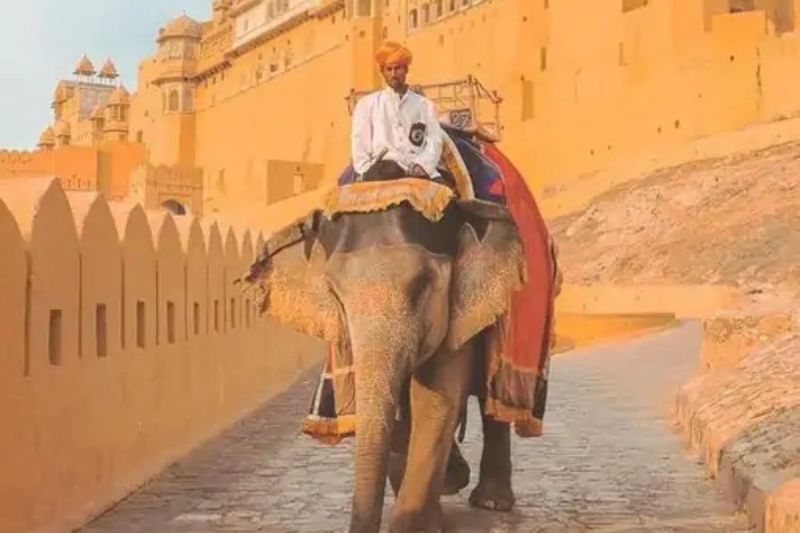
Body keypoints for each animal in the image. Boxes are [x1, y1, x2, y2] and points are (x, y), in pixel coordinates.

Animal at [242, 178, 527, 533]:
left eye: (421, 286)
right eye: (335, 293)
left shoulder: (459, 302)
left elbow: (437, 396)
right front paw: (441, 495)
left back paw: (491, 501)